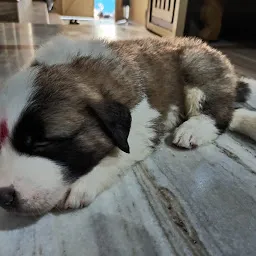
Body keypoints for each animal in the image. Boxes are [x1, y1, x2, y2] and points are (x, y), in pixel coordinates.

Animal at [0, 36, 255, 215]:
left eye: (42, 143)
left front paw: (84, 182)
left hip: (196, 65)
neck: (78, 70)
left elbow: (119, 152)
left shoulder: (144, 119)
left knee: (220, 113)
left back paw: (194, 129)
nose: (4, 197)